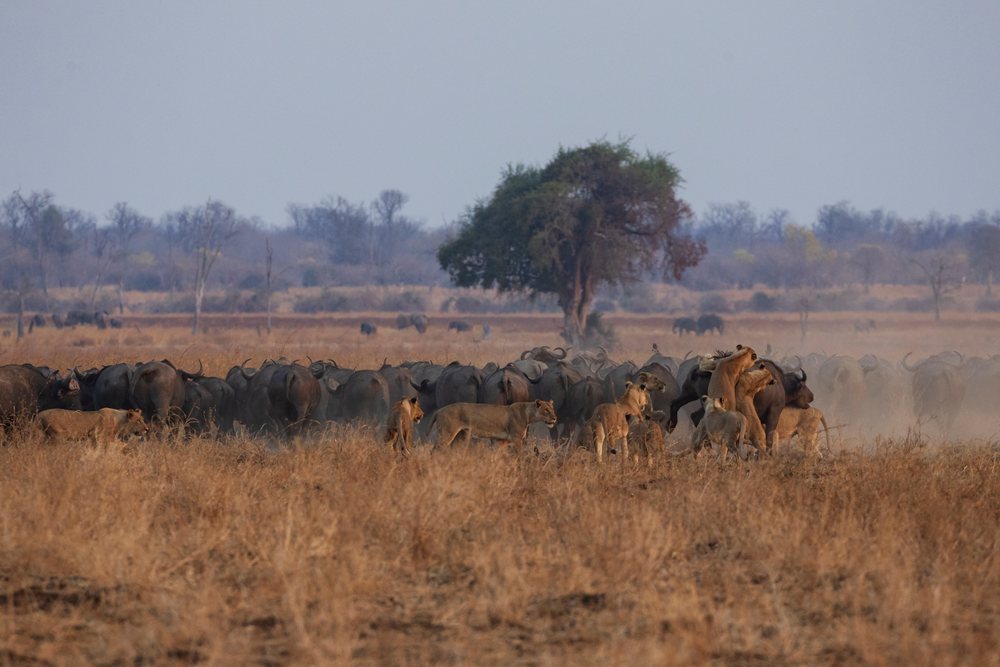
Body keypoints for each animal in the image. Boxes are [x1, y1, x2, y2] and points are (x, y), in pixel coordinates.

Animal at [427, 399, 556, 454]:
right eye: (546, 410)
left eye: (552, 409)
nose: (555, 418)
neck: (528, 414)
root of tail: (439, 410)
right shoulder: (516, 438)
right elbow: (519, 454)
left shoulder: (501, 441)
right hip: (447, 433)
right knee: (434, 450)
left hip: (461, 436)